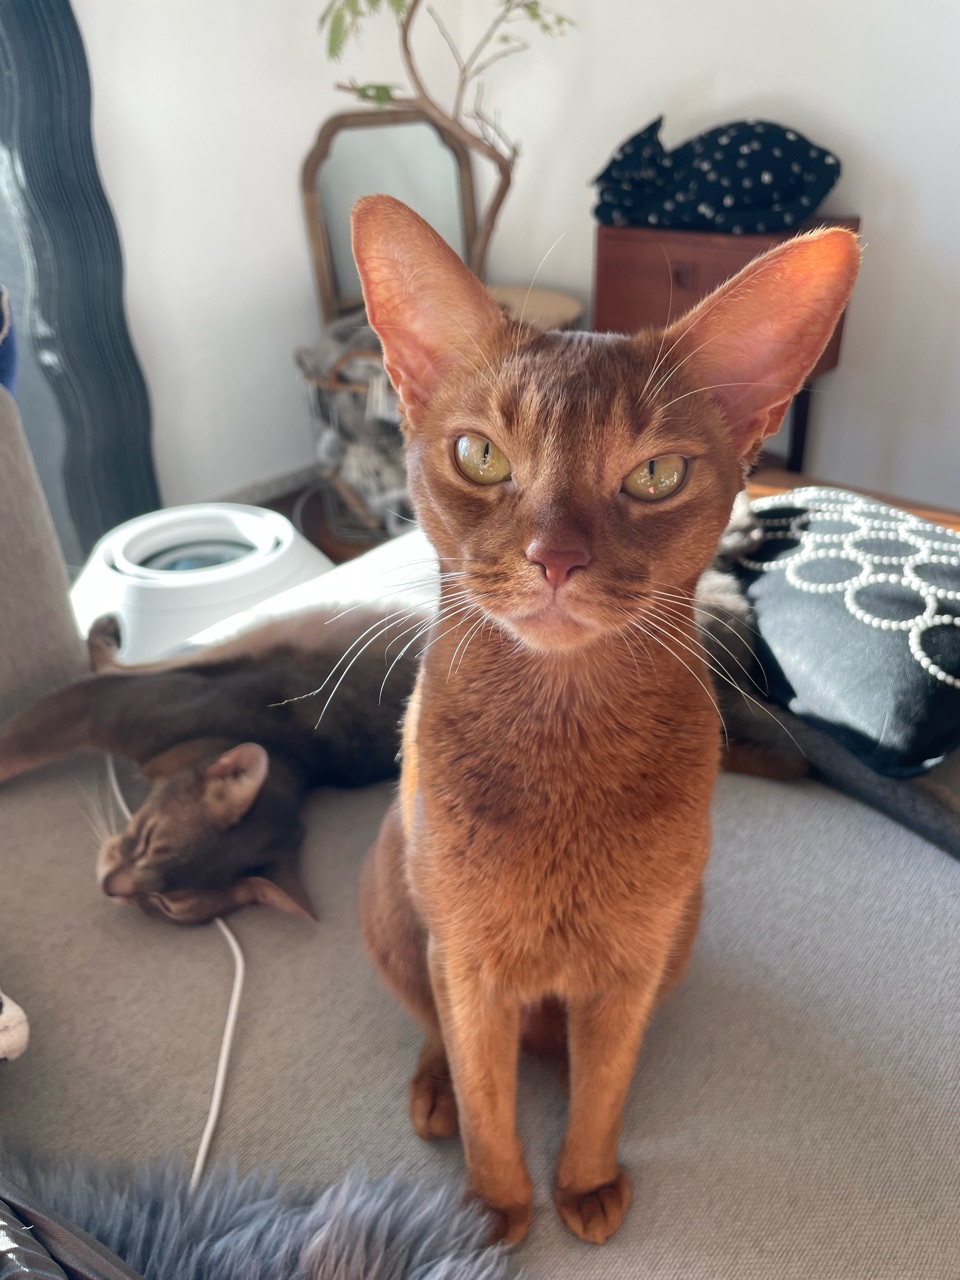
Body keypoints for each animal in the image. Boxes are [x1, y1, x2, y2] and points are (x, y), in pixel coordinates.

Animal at [0, 607, 422, 924]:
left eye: (166, 903)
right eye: (149, 840)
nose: (108, 887)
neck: (297, 753)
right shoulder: (99, 704)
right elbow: (14, 746)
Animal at [351, 194, 859, 1245]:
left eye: (657, 474)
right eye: (480, 456)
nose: (554, 558)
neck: (561, 742)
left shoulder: (633, 962)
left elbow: (604, 1085)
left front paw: (583, 1179)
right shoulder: (467, 960)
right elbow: (487, 1090)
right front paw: (494, 1210)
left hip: (685, 923)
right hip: (389, 890)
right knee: (435, 1027)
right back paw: (435, 1092)